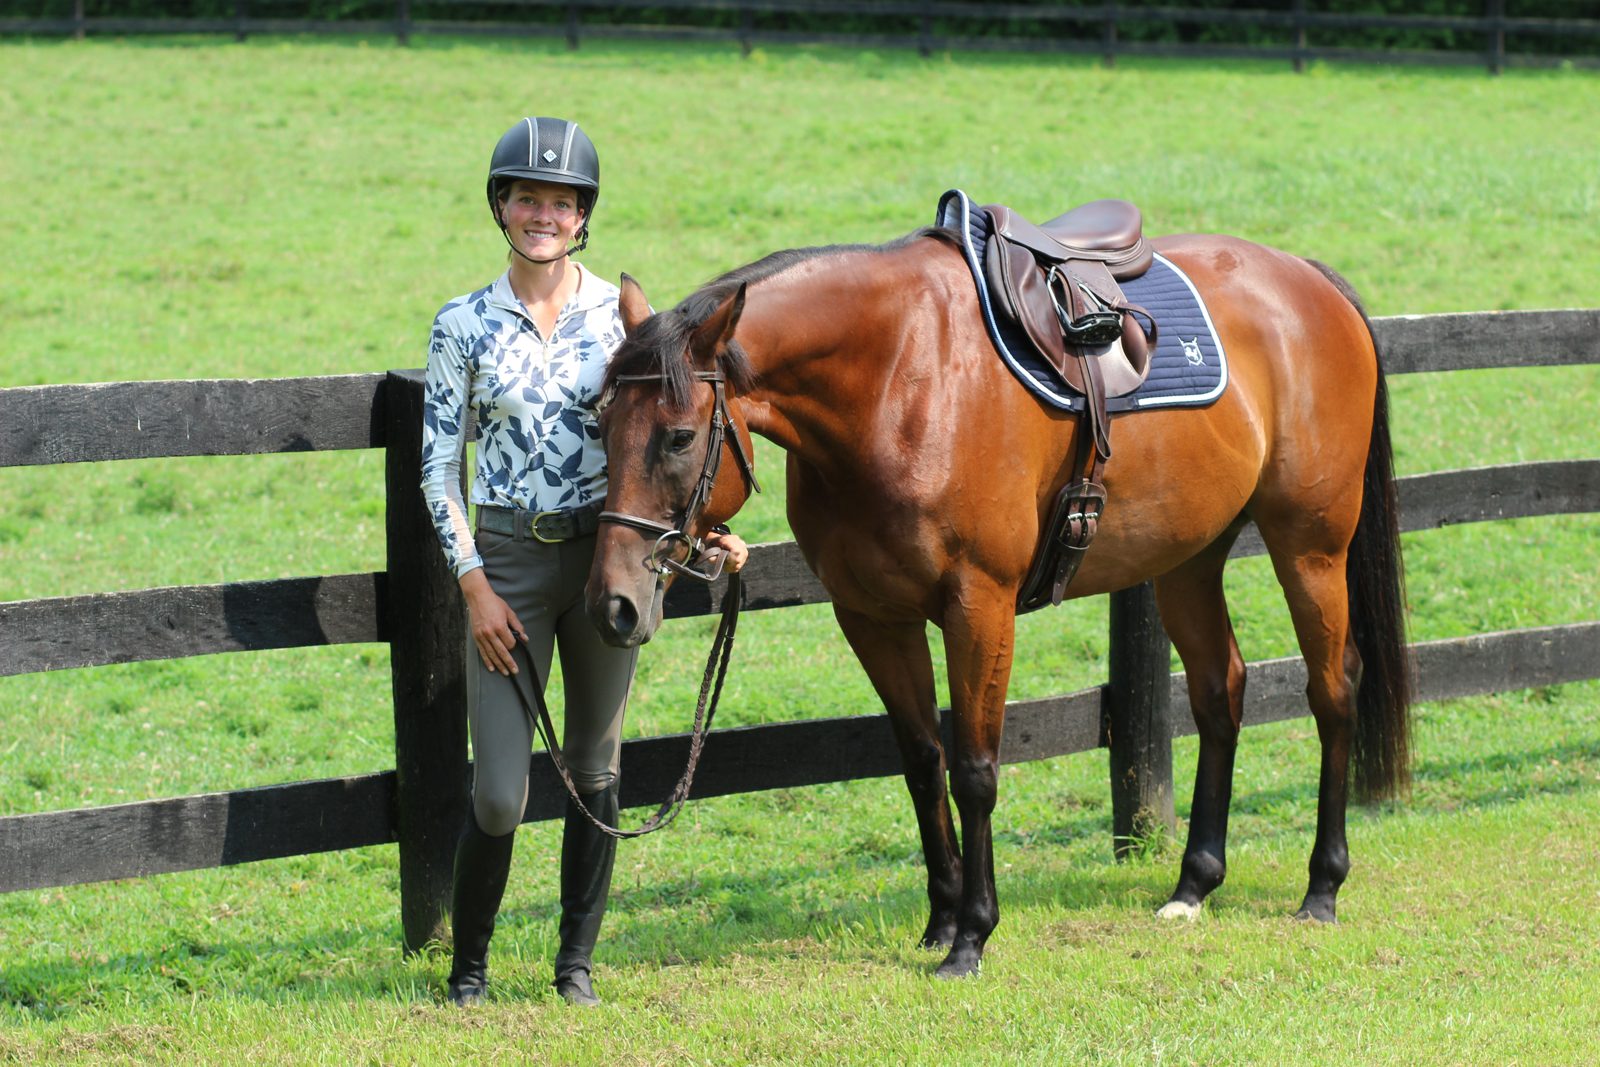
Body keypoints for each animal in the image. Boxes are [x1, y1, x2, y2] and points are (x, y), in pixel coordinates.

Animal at [583, 222, 1412, 979]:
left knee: (1334, 688)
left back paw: (1322, 885)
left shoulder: (978, 606)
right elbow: (923, 762)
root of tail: (1308, 277)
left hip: (1310, 545)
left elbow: (975, 768)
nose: (613, 603)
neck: (898, 380)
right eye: (598, 423)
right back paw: (1193, 884)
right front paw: (941, 918)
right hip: (1189, 560)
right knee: (1220, 693)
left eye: (678, 436)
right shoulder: (872, 617)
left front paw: (973, 934)